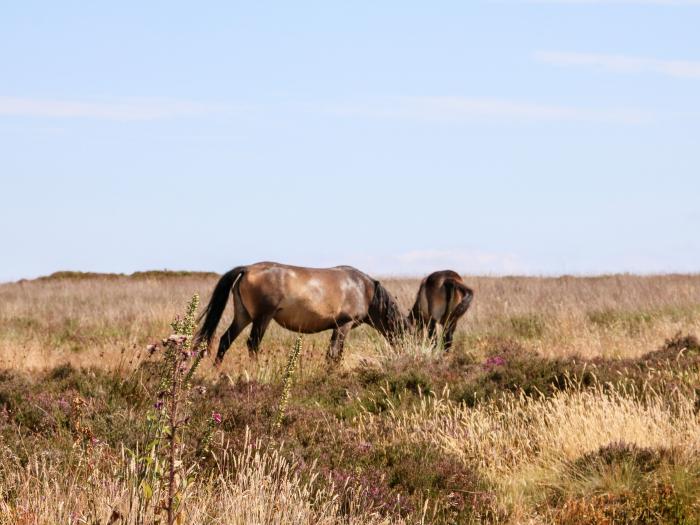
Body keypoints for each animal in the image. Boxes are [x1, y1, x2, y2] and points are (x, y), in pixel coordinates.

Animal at [194, 262, 408, 364]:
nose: (405, 354)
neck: (364, 289)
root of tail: (247, 269)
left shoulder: (337, 327)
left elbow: (332, 354)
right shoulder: (343, 325)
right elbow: (334, 354)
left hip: (243, 316)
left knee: (225, 340)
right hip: (262, 318)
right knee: (252, 344)